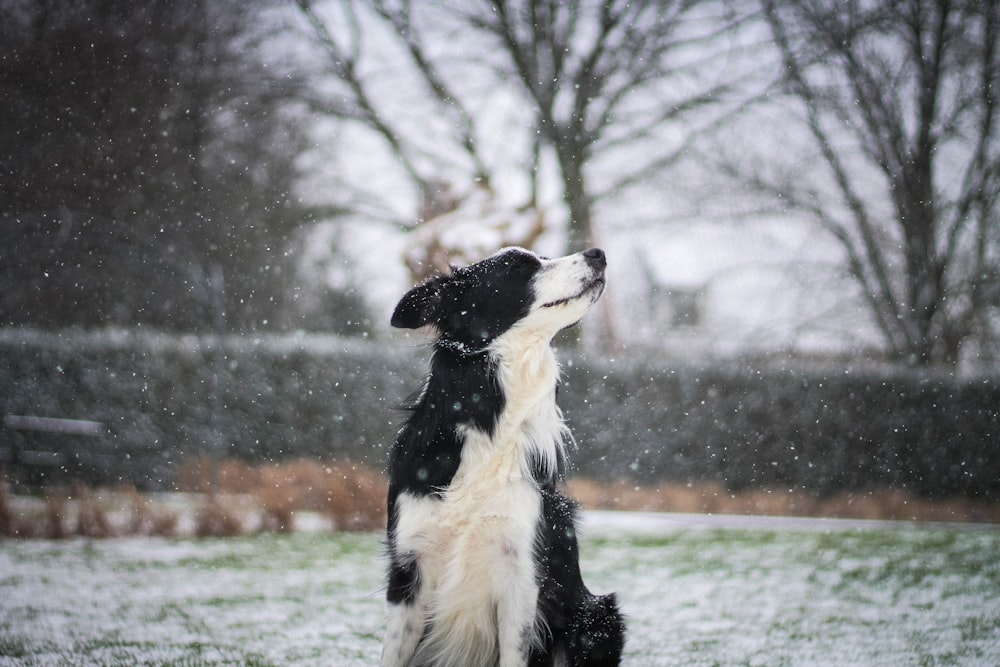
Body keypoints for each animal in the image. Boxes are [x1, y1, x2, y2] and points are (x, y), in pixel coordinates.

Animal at [378, 248, 620, 664]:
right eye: (520, 267)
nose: (598, 253)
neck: (490, 425)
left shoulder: (521, 575)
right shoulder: (409, 569)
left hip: (598, 617)